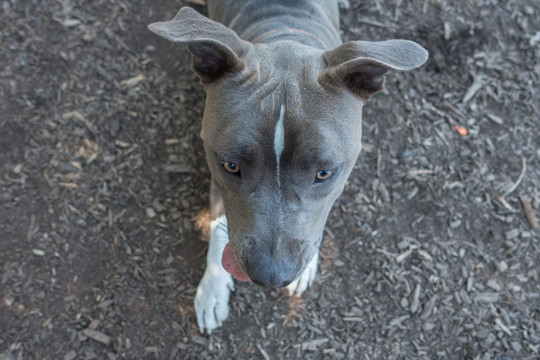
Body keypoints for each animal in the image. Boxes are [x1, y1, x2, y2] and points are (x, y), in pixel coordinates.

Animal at [148, 0, 426, 334]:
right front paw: (213, 289)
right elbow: (217, 224)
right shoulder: (215, 173)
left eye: (324, 173)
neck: (283, 33)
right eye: (231, 165)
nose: (271, 276)